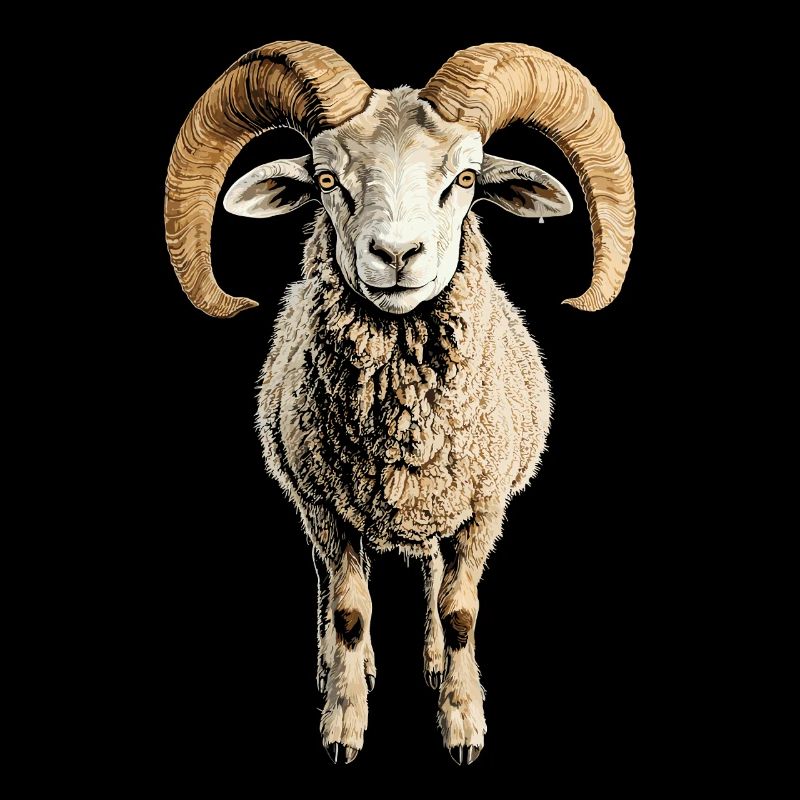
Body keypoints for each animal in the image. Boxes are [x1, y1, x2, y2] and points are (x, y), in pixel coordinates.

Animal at [164, 40, 635, 766]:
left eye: (466, 178)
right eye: (326, 179)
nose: (395, 254)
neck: (404, 432)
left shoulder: (482, 508)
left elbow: (460, 610)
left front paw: (463, 723)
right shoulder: (326, 506)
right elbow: (351, 612)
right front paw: (343, 723)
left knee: (434, 578)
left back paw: (435, 663)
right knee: (334, 586)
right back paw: (341, 666)